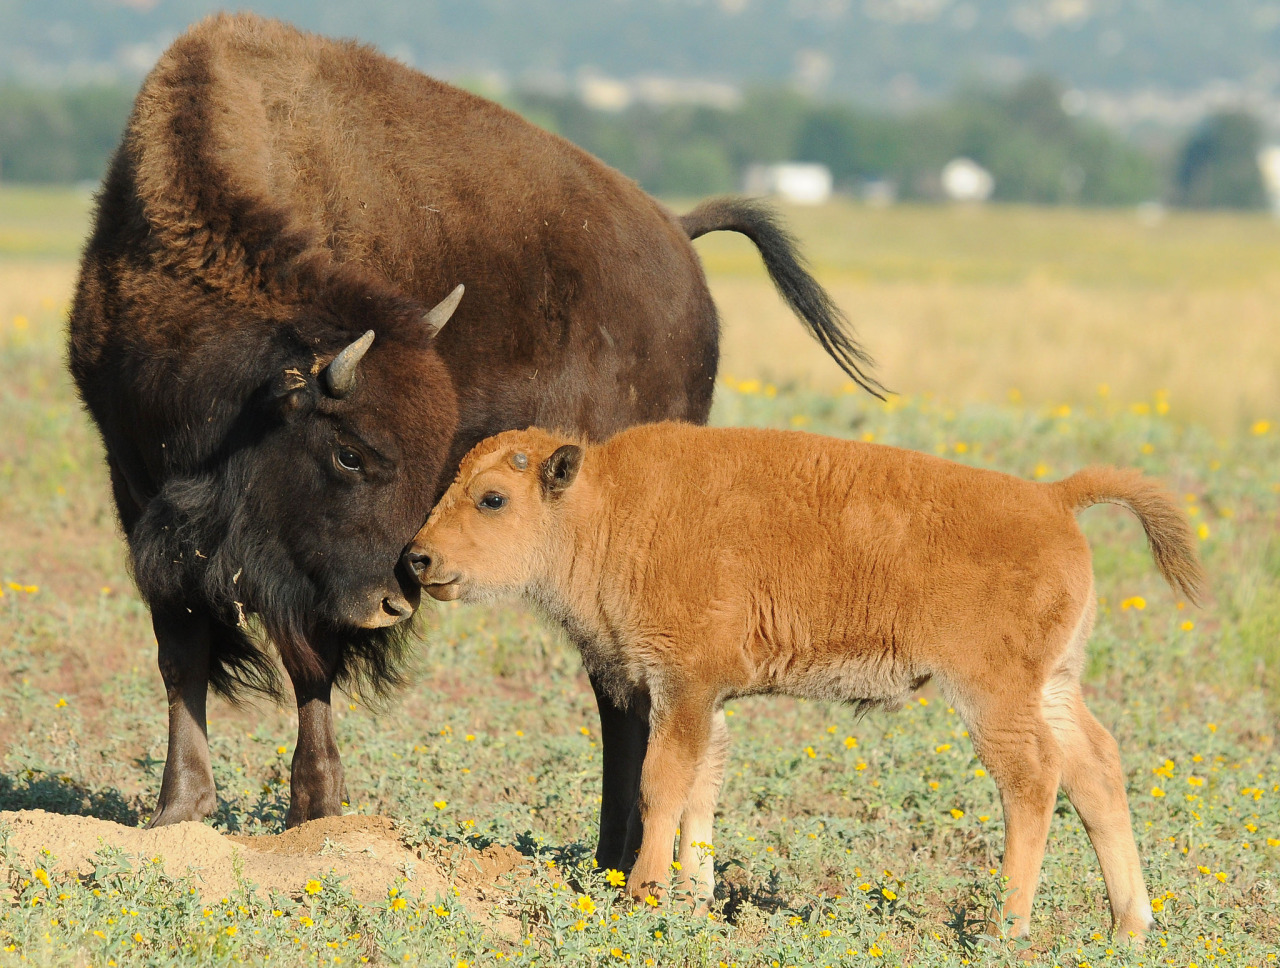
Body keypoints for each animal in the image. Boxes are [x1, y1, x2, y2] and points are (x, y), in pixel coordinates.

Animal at [67, 13, 880, 860]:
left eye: (422, 460)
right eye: (350, 453)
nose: (396, 601)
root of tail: (677, 239)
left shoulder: (308, 573)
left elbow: (309, 662)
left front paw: (317, 809)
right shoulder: (141, 496)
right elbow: (182, 650)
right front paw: (179, 811)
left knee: (622, 685)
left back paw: (615, 855)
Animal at [407, 422, 1198, 937]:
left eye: (493, 498)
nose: (417, 559)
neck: (612, 508)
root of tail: (1052, 499)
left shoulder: (682, 687)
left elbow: (662, 784)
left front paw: (646, 894)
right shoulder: (704, 699)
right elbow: (702, 788)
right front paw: (694, 896)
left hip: (993, 695)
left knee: (1033, 780)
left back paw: (1005, 926)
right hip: (1055, 684)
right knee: (1096, 770)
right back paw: (1128, 927)